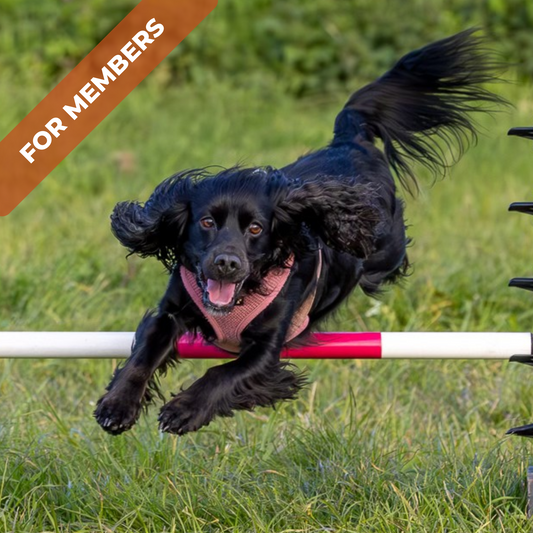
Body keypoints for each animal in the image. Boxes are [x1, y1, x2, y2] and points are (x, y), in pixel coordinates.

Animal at [93, 29, 504, 434]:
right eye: (207, 222)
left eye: (255, 228)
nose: (226, 263)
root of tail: (350, 140)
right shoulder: (171, 311)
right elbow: (145, 352)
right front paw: (118, 404)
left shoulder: (267, 346)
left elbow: (223, 373)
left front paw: (185, 409)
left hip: (385, 249)